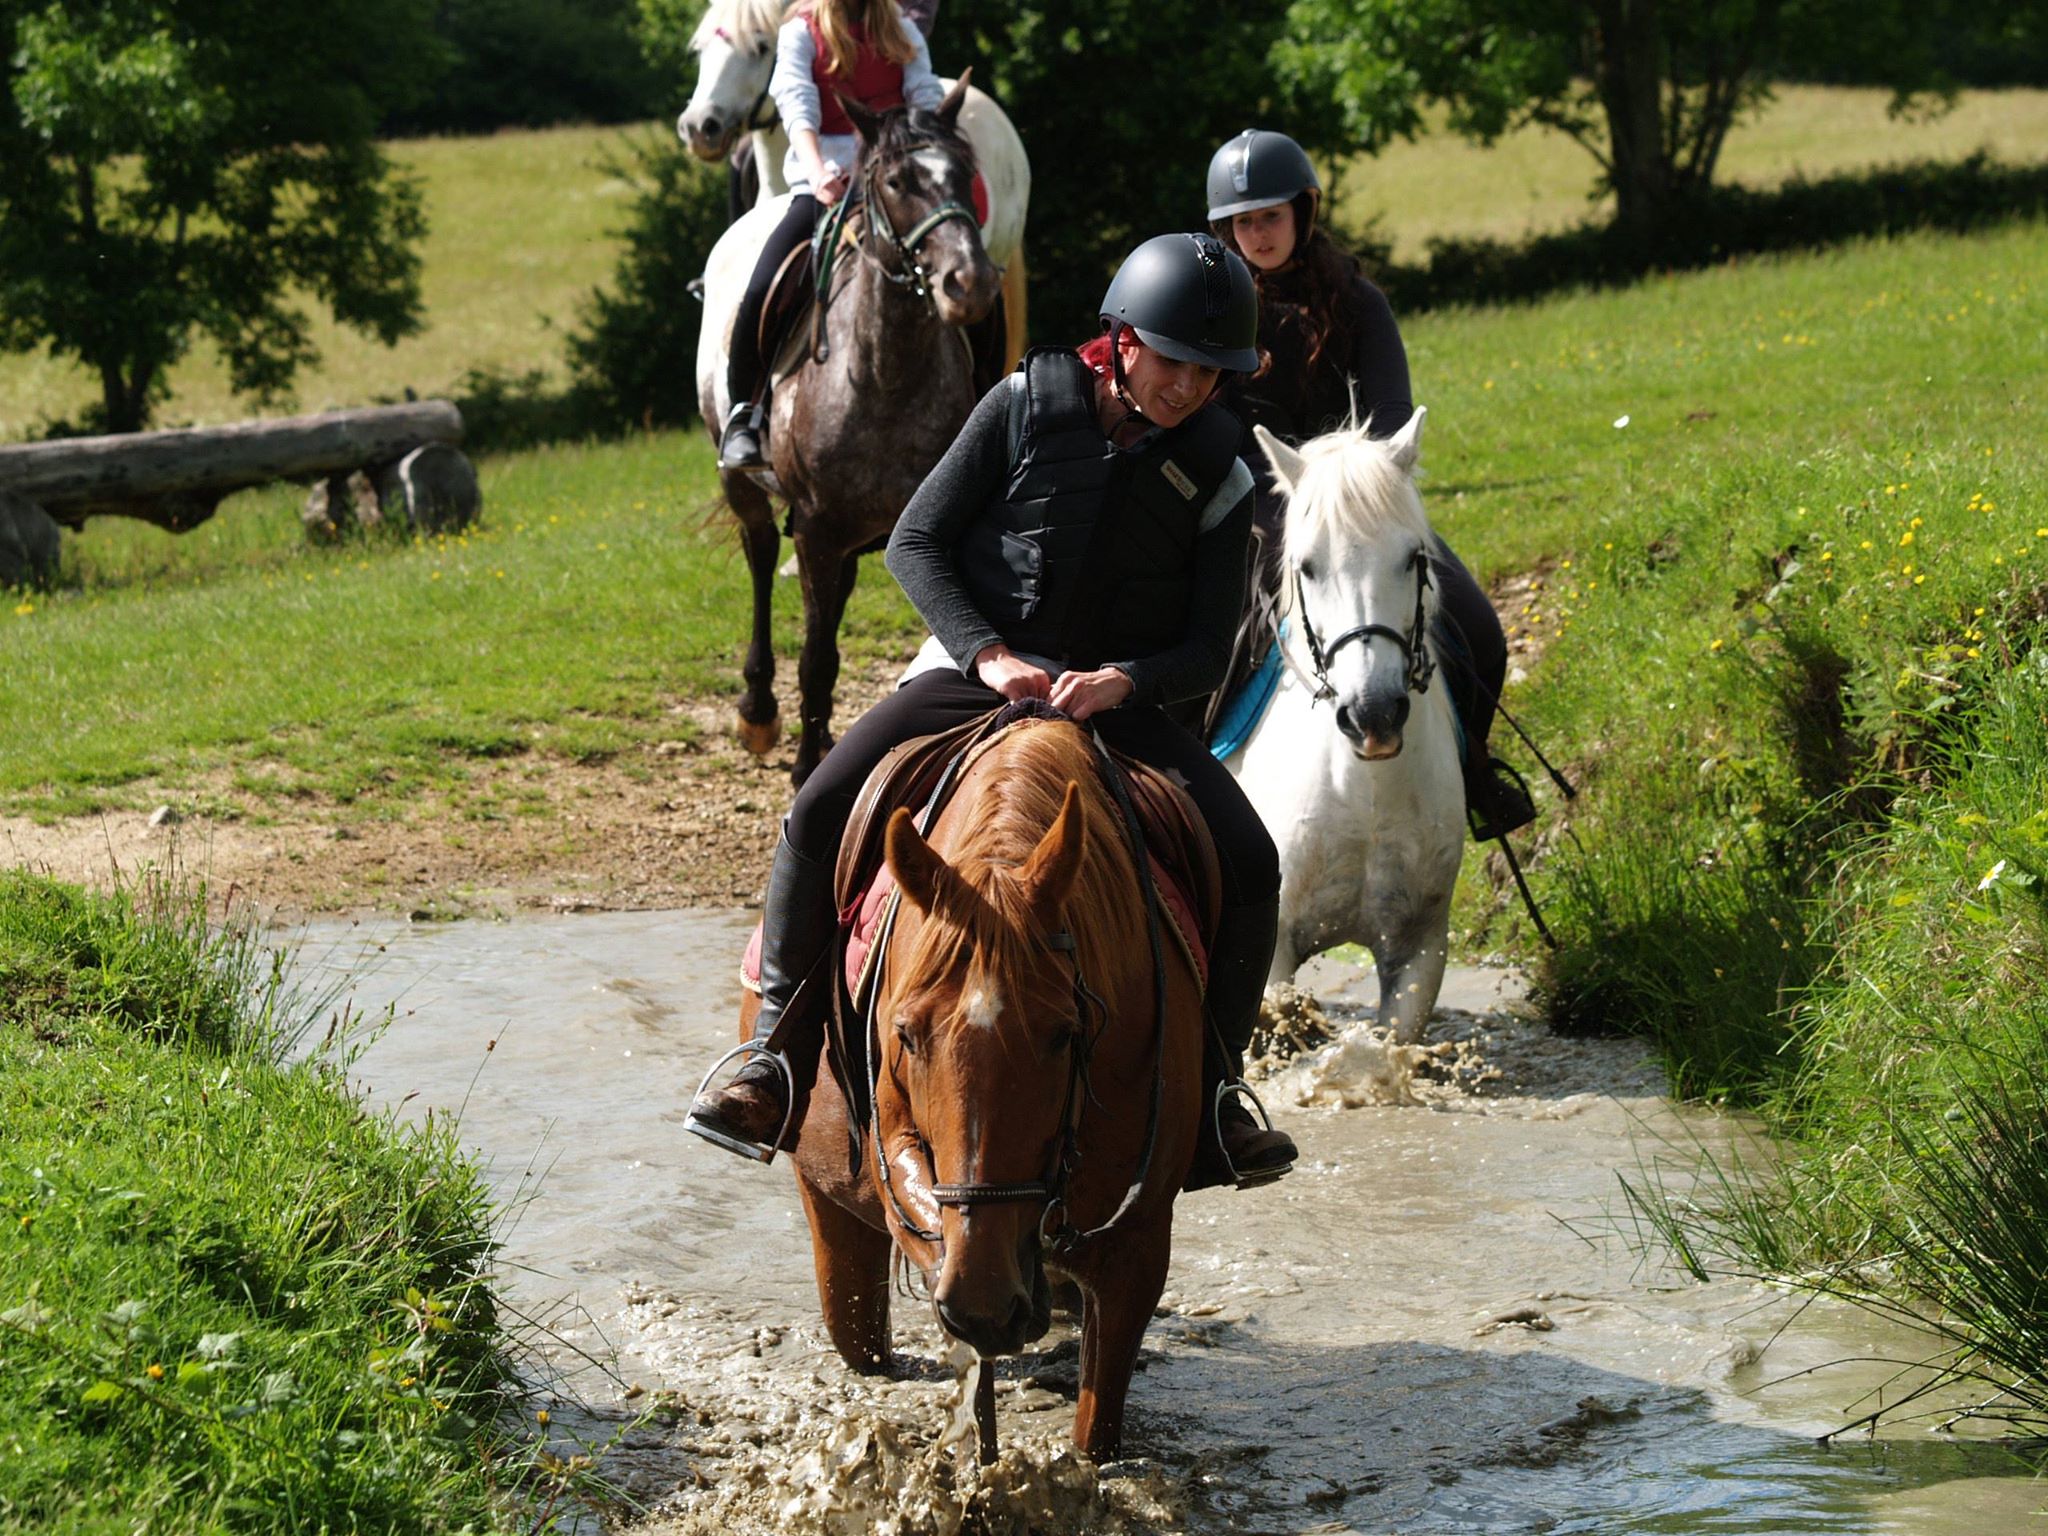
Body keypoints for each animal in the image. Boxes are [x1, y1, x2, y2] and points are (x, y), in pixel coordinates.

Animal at [745, 716, 1204, 1458]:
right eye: (905, 1034)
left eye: (1065, 1033)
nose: (985, 1301)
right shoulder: (904, 1180)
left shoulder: (1136, 1250)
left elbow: (1095, 1432)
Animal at [1228, 411, 1474, 1048]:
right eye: (1308, 567)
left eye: (1412, 557)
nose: (1373, 716)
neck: (1365, 795)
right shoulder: (1273, 955)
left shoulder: (1418, 952)